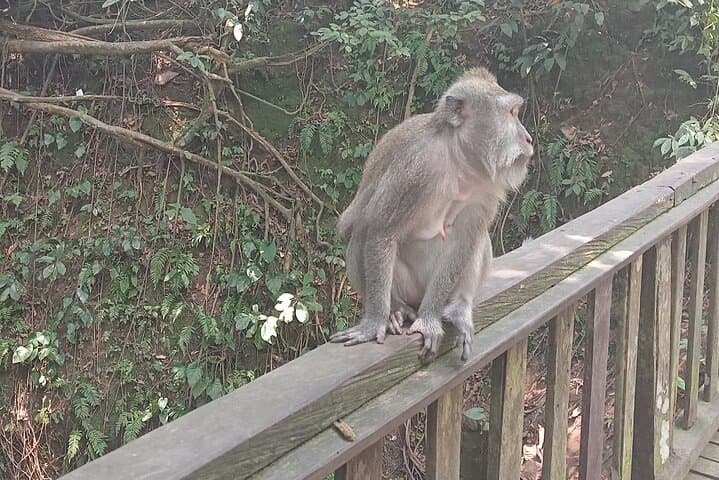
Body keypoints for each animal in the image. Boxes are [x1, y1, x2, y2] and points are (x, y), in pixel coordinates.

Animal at [329, 67, 534, 362]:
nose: (529, 138)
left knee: (477, 238)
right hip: (408, 287)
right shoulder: (416, 168)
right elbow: (380, 230)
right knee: (362, 228)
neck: (459, 161)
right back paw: (396, 310)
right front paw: (375, 321)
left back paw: (457, 307)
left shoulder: (486, 188)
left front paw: (429, 320)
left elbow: (464, 241)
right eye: (511, 113)